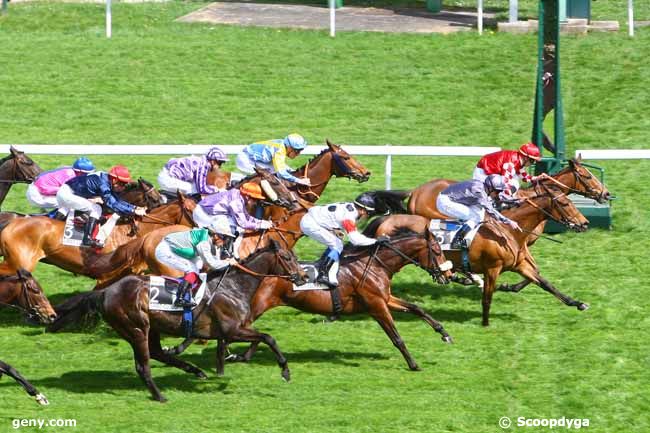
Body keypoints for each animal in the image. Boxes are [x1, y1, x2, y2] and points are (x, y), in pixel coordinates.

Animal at [48, 241, 306, 404]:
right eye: (287, 258)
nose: (303, 277)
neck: (233, 286)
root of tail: (105, 292)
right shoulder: (232, 329)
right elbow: (268, 338)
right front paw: (285, 370)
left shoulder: (238, 329)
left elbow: (260, 339)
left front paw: (235, 360)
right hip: (136, 328)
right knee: (143, 365)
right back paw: (160, 396)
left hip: (152, 328)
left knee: (157, 353)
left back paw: (195, 371)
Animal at [230, 228, 454, 370]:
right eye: (437, 251)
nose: (448, 275)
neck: (375, 264)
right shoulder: (376, 305)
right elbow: (396, 337)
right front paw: (413, 364)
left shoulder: (386, 298)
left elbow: (417, 308)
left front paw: (444, 333)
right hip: (257, 306)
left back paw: (243, 356)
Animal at [364, 182, 588, 324]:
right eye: (566, 203)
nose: (584, 223)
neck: (508, 232)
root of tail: (385, 220)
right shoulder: (493, 268)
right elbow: (487, 298)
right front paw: (485, 323)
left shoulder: (520, 265)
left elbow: (546, 284)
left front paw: (577, 303)